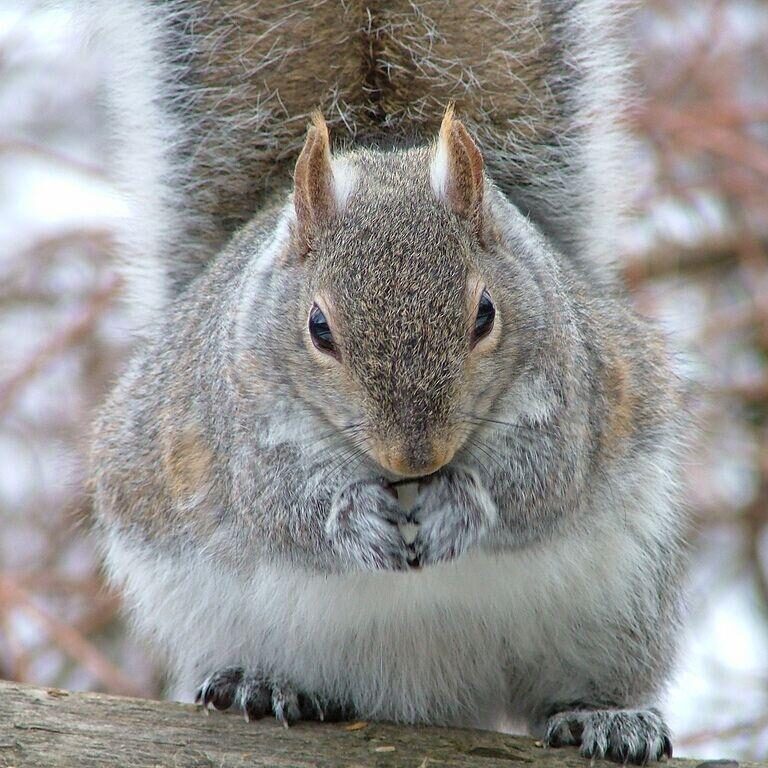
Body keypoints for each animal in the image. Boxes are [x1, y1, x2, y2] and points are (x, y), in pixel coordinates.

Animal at [87, 1, 688, 760]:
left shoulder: (572, 393)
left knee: (578, 682)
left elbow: (537, 481)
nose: (416, 458)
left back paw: (608, 717)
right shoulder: (238, 423)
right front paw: (352, 519)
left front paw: (461, 504)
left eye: (485, 314)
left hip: (616, 606)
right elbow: (281, 506)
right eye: (318, 328)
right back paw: (263, 684)